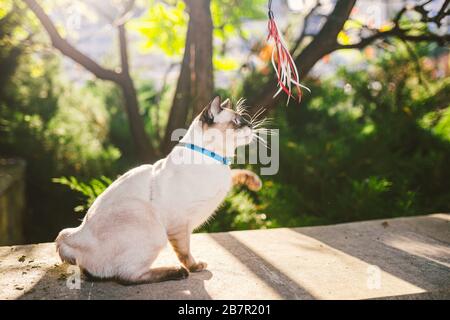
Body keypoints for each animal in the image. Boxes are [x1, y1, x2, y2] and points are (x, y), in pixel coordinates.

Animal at [55, 97, 264, 284]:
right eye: (238, 122)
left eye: (244, 120)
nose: (251, 126)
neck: (218, 161)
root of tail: (76, 234)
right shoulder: (179, 225)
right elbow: (185, 252)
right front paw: (195, 267)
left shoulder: (224, 182)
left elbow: (237, 173)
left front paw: (255, 183)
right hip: (152, 226)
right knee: (126, 277)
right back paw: (178, 272)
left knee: (91, 272)